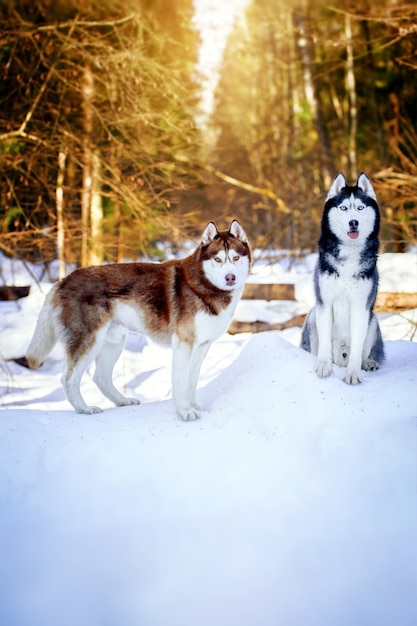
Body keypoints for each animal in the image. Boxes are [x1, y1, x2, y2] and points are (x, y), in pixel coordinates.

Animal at [28, 219, 254, 420]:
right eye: (218, 260)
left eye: (235, 258)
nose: (230, 277)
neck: (204, 285)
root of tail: (62, 281)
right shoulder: (183, 345)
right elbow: (181, 382)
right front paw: (185, 412)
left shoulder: (202, 346)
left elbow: (191, 381)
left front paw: (195, 406)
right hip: (88, 341)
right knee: (68, 378)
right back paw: (84, 409)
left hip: (114, 342)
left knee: (100, 377)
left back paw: (123, 401)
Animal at [300, 173, 384, 382]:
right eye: (344, 208)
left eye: (360, 208)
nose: (353, 222)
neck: (349, 251)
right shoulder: (325, 303)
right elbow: (324, 345)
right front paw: (323, 366)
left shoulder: (361, 306)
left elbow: (357, 349)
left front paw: (353, 373)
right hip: (313, 314)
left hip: (372, 320)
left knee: (365, 351)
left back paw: (368, 363)